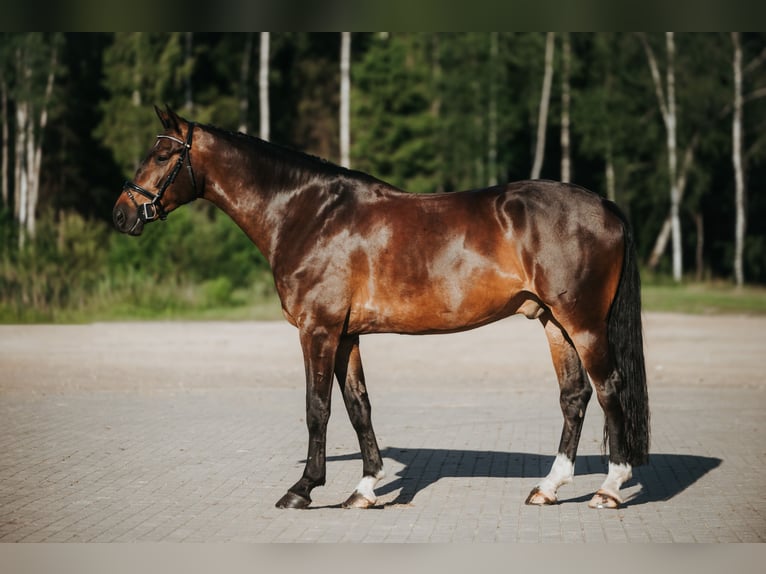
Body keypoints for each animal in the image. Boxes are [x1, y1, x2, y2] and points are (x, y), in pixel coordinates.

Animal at [112, 108, 648, 512]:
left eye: (162, 154)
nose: (121, 213)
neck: (309, 214)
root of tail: (605, 204)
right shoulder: (346, 335)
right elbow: (358, 405)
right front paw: (365, 488)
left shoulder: (318, 330)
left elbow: (317, 408)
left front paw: (303, 489)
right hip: (554, 322)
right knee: (574, 396)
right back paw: (548, 488)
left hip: (583, 323)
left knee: (608, 388)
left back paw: (609, 488)